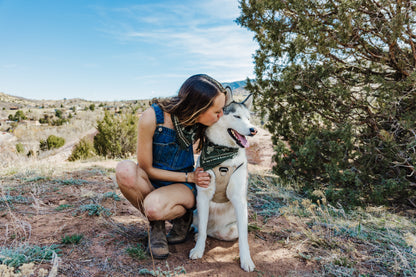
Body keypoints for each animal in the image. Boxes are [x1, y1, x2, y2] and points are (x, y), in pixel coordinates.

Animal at [189, 89, 256, 272]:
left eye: (249, 118)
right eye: (237, 116)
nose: (253, 130)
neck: (224, 157)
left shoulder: (239, 200)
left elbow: (244, 239)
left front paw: (246, 260)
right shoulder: (203, 196)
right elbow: (202, 230)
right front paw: (198, 249)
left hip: (232, 228)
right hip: (195, 213)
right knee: (203, 229)